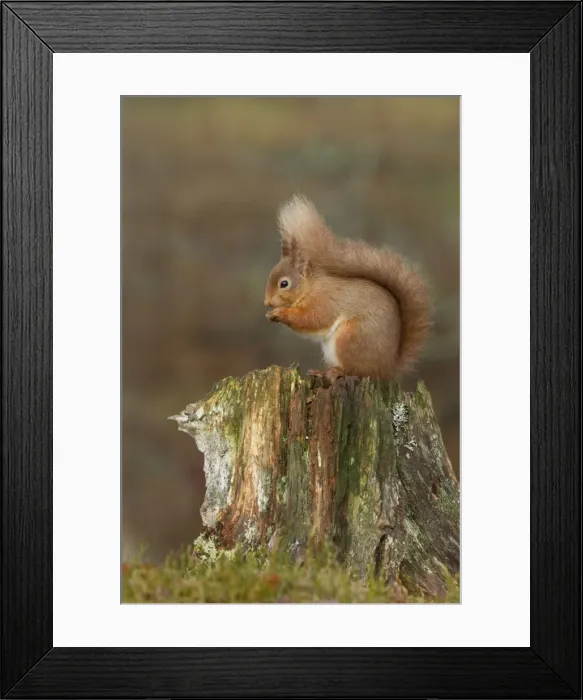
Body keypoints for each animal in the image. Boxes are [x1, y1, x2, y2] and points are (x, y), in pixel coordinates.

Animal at [264, 195, 432, 382]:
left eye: (284, 284)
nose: (267, 302)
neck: (310, 287)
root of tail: (387, 369)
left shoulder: (324, 301)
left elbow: (312, 319)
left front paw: (281, 313)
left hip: (350, 339)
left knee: (356, 370)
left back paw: (335, 372)